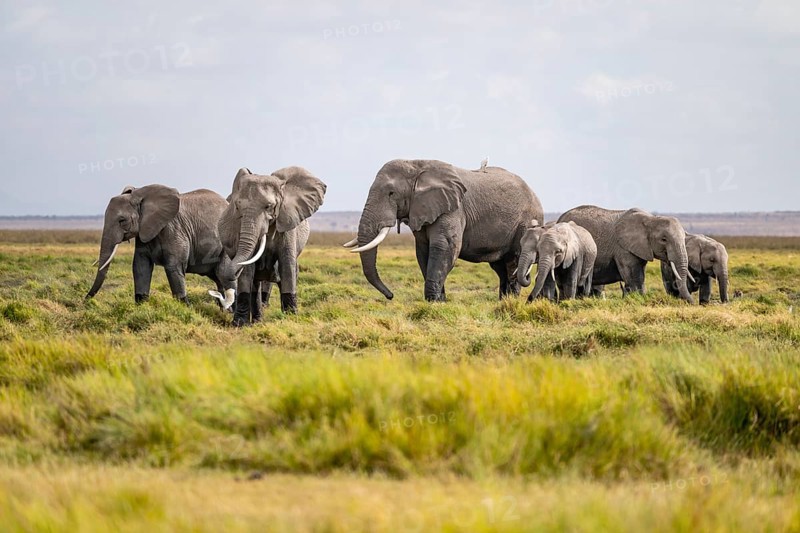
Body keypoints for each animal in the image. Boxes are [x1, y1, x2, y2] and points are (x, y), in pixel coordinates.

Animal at [86, 185, 237, 306]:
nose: (86, 299)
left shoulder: (174, 229)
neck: (140, 196)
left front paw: (185, 307)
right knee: (219, 278)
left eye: (122, 220)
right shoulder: (144, 231)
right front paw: (141, 306)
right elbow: (140, 265)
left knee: (225, 274)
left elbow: (173, 267)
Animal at [218, 167, 326, 326]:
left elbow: (287, 265)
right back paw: (257, 321)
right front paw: (239, 324)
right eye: (237, 206)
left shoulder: (287, 221)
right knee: (255, 284)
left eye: (268, 206)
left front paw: (291, 320)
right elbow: (247, 271)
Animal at [345, 159, 544, 302]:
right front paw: (439, 301)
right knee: (500, 266)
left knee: (512, 262)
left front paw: (433, 301)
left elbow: (444, 247)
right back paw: (503, 301)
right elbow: (423, 251)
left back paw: (511, 301)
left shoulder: (453, 209)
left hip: (525, 223)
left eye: (391, 193)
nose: (391, 296)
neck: (416, 164)